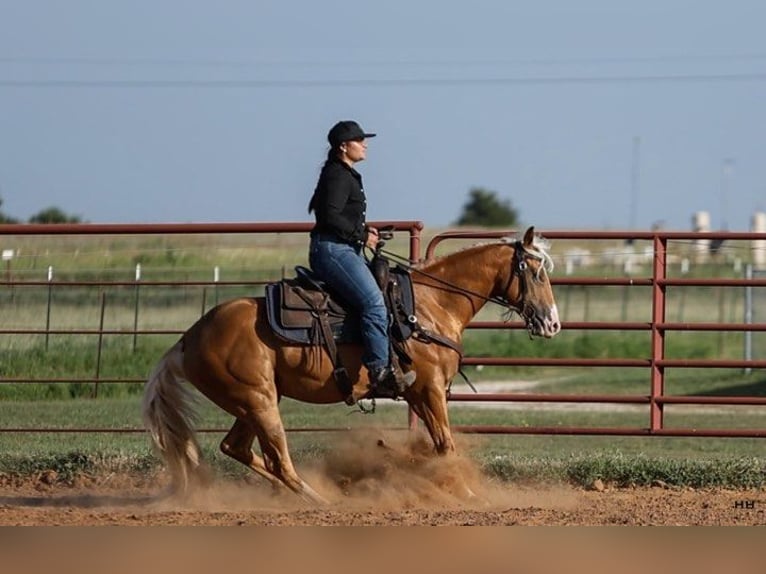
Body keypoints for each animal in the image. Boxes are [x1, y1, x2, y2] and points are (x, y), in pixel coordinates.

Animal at [141, 226, 560, 503]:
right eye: (537, 273)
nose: (553, 323)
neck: (429, 307)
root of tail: (188, 338)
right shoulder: (429, 390)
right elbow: (445, 444)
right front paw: (469, 493)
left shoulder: (417, 393)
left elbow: (437, 444)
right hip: (258, 402)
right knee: (278, 459)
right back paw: (321, 500)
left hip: (253, 403)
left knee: (236, 448)